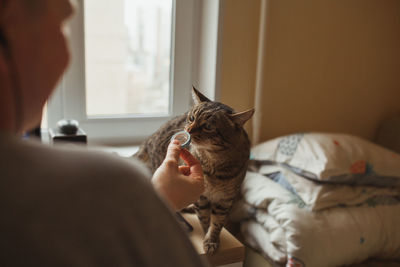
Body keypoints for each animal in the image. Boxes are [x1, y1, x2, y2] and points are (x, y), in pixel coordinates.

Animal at [134, 87, 253, 254]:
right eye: (191, 118)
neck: (214, 163)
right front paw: (206, 236)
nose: (188, 129)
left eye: (208, 127)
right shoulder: (201, 197)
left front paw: (212, 240)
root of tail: (149, 138)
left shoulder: (226, 199)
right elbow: (204, 218)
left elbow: (218, 222)